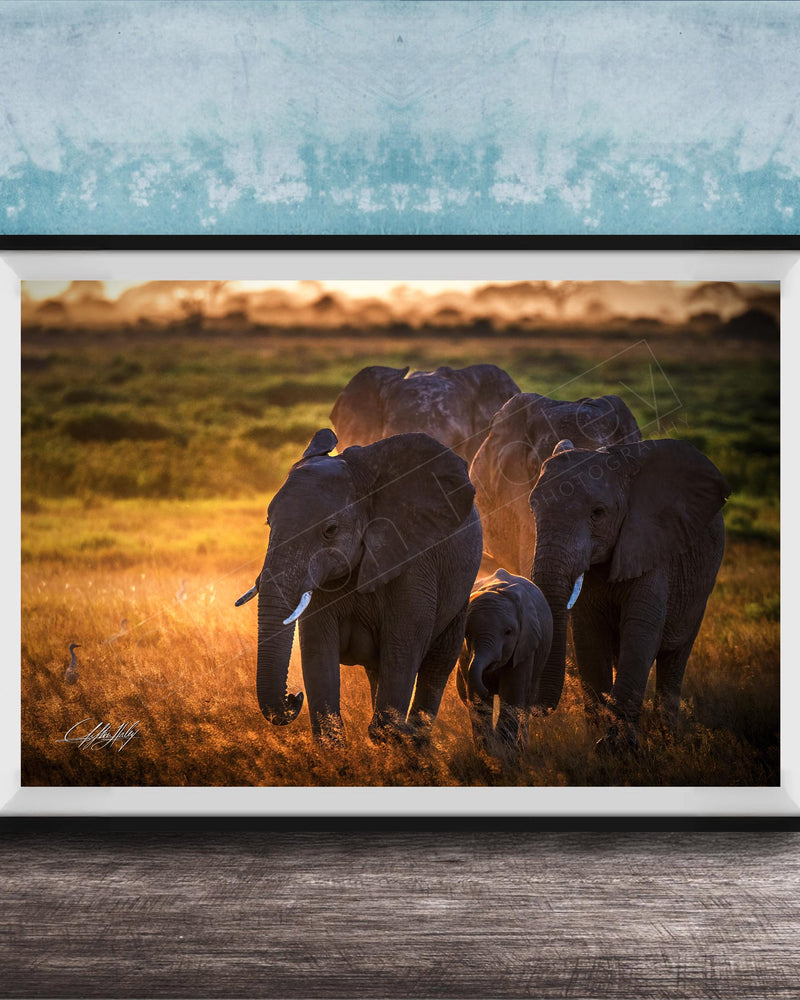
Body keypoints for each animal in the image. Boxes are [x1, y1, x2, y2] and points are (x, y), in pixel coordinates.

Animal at [236, 427, 483, 743]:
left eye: (330, 531)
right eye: (269, 523)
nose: (294, 697)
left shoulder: (414, 559)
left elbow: (402, 647)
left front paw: (390, 739)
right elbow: (317, 649)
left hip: (461, 588)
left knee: (438, 663)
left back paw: (417, 739)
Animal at [456, 569, 552, 754]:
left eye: (508, 632)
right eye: (467, 634)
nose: (487, 689)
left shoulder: (524, 645)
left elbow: (512, 697)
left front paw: (504, 753)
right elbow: (478, 703)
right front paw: (487, 753)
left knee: (526, 703)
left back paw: (521, 749)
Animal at [528, 438, 730, 743]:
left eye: (597, 513)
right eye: (533, 510)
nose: (535, 711)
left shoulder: (653, 544)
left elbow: (641, 630)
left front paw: (618, 745)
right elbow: (588, 635)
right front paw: (600, 740)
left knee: (675, 657)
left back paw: (667, 738)